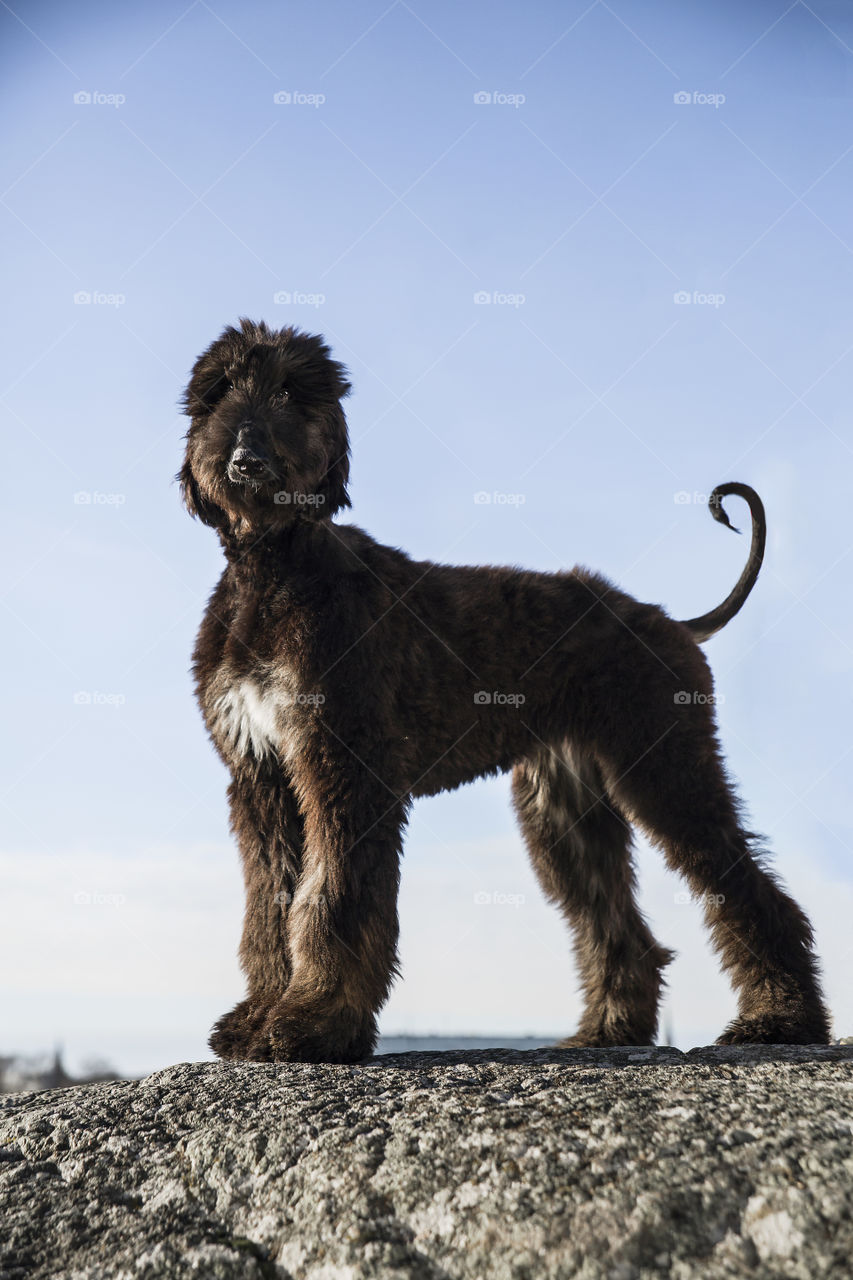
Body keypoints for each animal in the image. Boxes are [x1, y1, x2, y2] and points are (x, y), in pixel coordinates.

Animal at [180, 317, 829, 1059]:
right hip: (563, 807)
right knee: (617, 926)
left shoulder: (343, 766)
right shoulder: (260, 776)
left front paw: (315, 1024)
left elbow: (332, 895)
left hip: (665, 765)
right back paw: (607, 1031)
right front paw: (259, 1017)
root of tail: (664, 619)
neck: (276, 566)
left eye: (291, 390)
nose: (246, 457)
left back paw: (781, 1021)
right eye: (221, 389)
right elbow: (271, 902)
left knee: (745, 888)